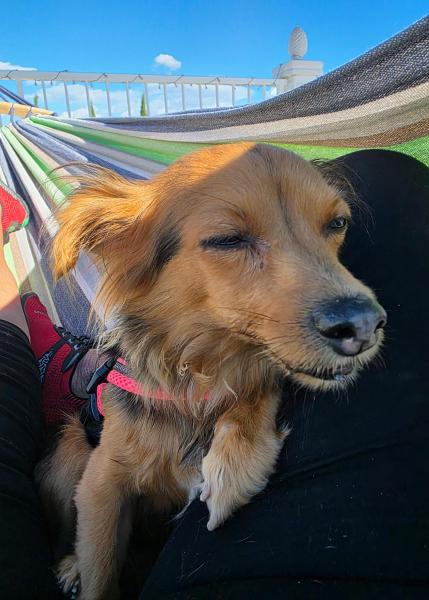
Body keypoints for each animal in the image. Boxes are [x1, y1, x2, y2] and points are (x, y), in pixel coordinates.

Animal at [39, 143, 386, 599]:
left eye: (337, 223)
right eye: (227, 240)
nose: (363, 325)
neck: (198, 375)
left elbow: (255, 386)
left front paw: (237, 458)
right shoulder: (100, 487)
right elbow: (100, 575)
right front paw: (85, 572)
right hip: (68, 453)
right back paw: (70, 567)